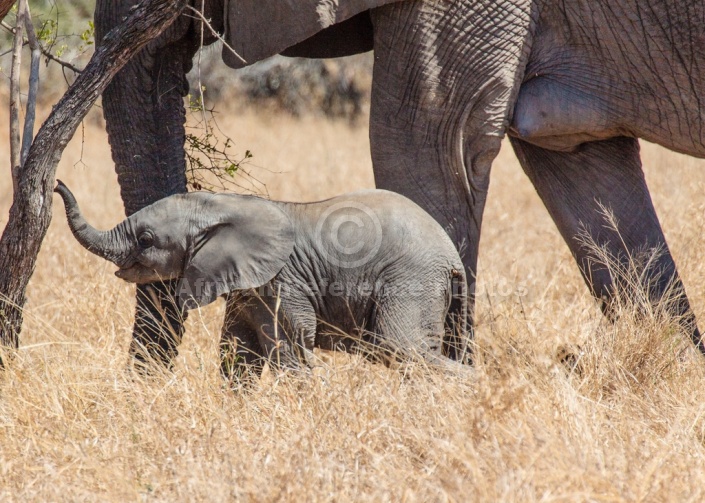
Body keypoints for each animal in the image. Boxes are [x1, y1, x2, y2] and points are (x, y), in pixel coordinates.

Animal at [55, 183, 468, 376]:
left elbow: (288, 354)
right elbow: (236, 354)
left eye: (145, 239)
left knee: (400, 346)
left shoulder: (282, 284)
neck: (222, 203)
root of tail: (452, 257)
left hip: (410, 279)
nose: (56, 184)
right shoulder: (248, 291)